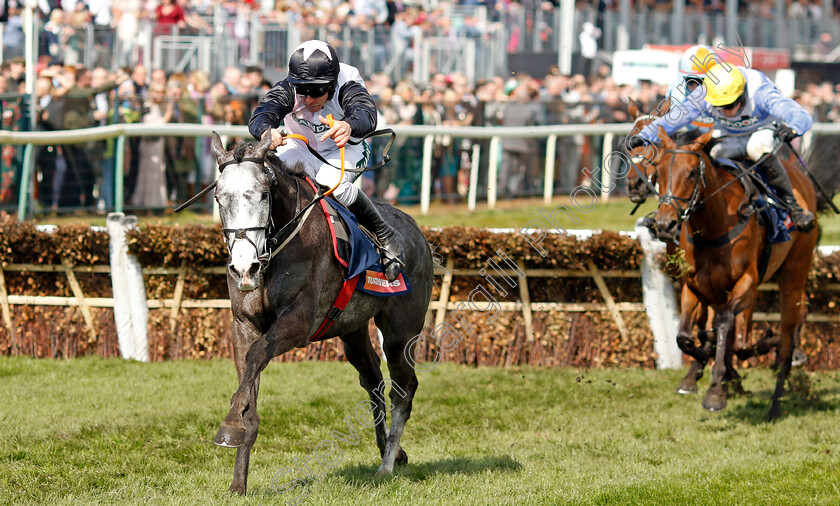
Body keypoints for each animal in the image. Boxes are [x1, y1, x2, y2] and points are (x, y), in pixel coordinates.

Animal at [208, 131, 436, 494]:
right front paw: (238, 480)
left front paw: (230, 426)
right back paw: (391, 449)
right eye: (219, 197)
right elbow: (250, 379)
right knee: (373, 379)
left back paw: (386, 465)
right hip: (352, 328)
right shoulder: (244, 324)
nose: (244, 267)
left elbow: (258, 354)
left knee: (404, 388)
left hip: (401, 330)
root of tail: (415, 229)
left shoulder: (299, 322)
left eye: (263, 194)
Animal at [648, 126, 820, 420]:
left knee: (787, 336)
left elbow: (724, 324)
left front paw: (716, 392)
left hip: (795, 271)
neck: (714, 227)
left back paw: (775, 401)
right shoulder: (695, 286)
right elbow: (686, 336)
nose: (664, 224)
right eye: (657, 171)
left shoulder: (747, 281)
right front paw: (701, 369)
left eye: (692, 172)